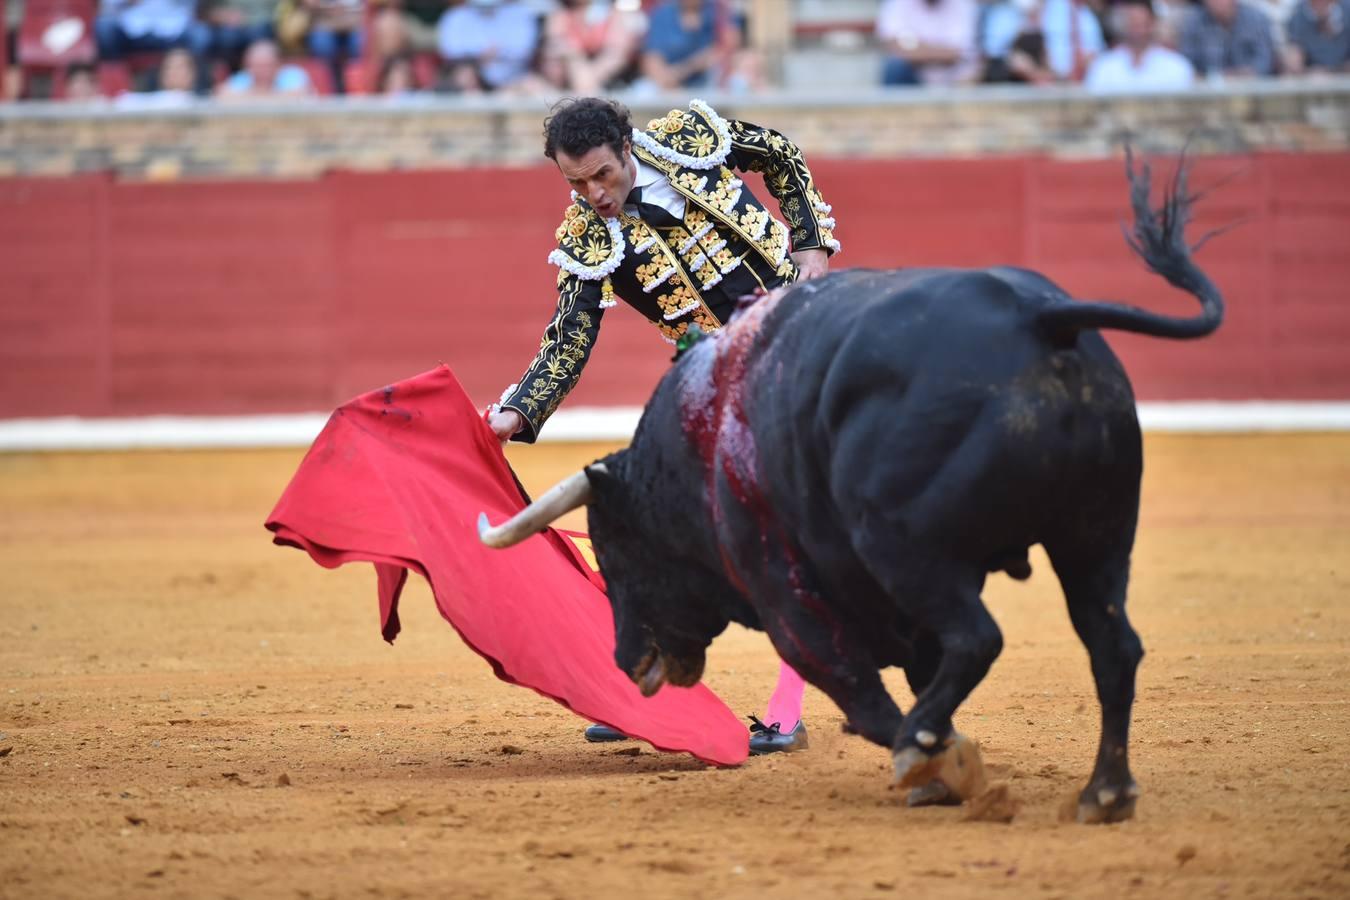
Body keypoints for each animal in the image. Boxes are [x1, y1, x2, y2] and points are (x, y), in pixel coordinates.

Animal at [483, 155, 1225, 825]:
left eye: (614, 553)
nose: (623, 660)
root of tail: (1039, 321)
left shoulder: (786, 596)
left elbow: (865, 696)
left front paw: (934, 760)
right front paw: (941, 766)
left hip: (907, 548)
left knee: (979, 638)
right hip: (1095, 537)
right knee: (1113, 647)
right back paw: (1105, 792)